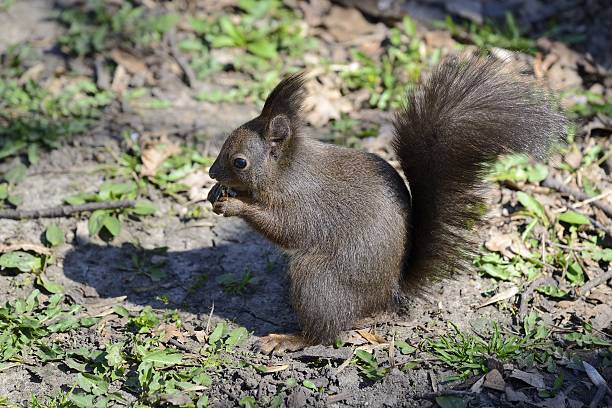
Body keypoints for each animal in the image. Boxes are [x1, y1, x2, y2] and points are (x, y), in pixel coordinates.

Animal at [208, 55, 568, 354]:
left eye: (240, 162)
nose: (212, 172)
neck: (287, 170)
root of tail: (388, 292)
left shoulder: (303, 203)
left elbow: (284, 229)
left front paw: (236, 206)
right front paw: (215, 193)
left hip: (319, 279)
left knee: (323, 332)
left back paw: (289, 339)